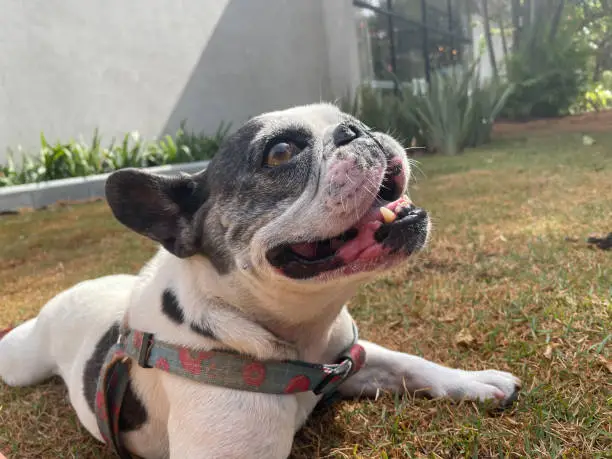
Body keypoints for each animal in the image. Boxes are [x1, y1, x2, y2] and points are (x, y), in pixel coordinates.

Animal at [0, 105, 520, 459]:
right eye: (281, 152)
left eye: (351, 119)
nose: (357, 129)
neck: (298, 338)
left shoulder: (352, 360)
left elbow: (413, 364)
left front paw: (476, 382)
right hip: (21, 363)